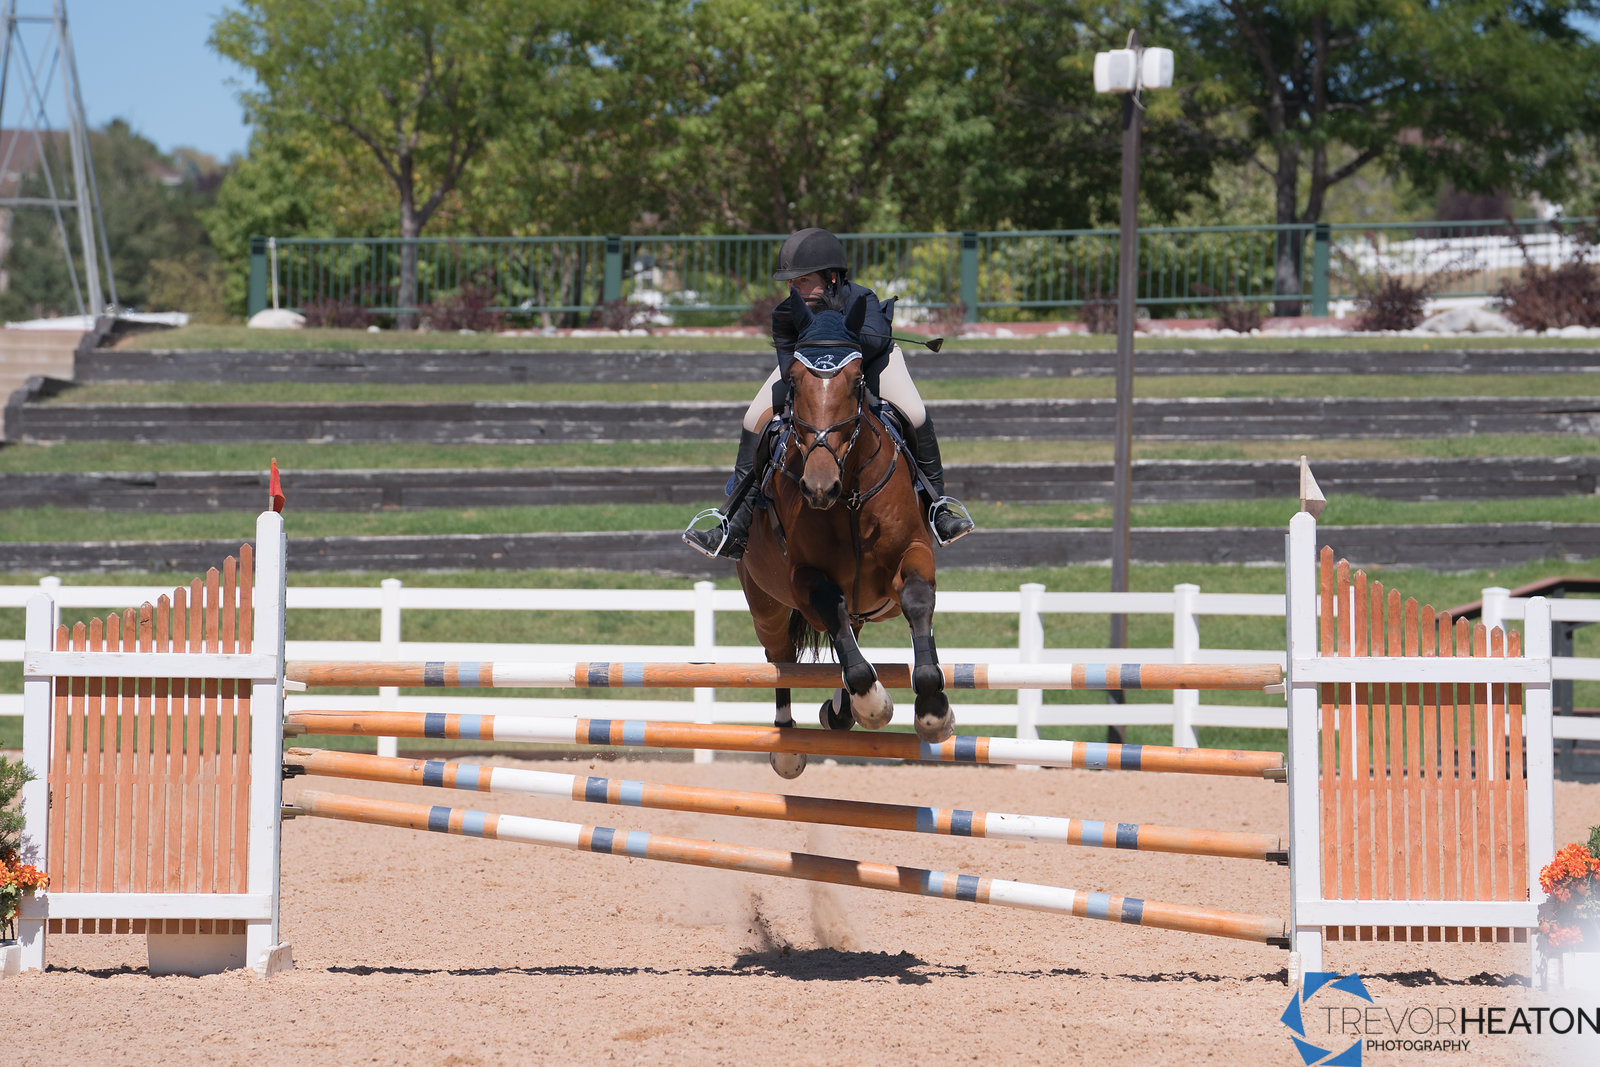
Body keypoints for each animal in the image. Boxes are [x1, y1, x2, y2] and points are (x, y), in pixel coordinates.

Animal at [735, 294, 954, 779]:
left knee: (847, 636)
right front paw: (872, 703)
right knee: (782, 656)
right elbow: (832, 614)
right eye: (794, 382)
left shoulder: (913, 553)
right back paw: (790, 745)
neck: (850, 497)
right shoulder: (803, 578)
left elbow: (916, 602)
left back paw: (838, 711)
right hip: (766, 605)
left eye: (856, 383)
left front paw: (933, 710)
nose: (819, 488)